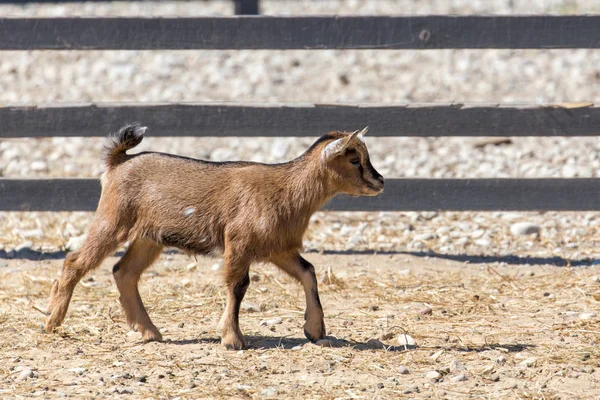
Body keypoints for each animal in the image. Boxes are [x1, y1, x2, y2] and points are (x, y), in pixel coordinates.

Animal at [47, 123, 384, 348]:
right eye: (354, 159)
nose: (380, 181)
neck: (286, 189)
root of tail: (118, 162)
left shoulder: (278, 248)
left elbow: (308, 272)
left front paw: (315, 330)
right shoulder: (239, 242)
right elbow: (238, 285)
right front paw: (233, 339)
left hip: (148, 237)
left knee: (124, 271)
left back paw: (150, 332)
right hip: (113, 219)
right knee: (75, 261)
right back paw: (52, 320)